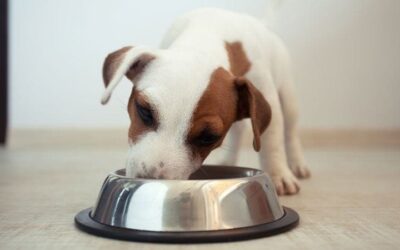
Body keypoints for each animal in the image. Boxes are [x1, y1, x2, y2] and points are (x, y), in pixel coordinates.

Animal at [99, 7, 310, 195]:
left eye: (208, 137)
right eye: (144, 111)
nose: (150, 180)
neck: (207, 35)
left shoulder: (268, 95)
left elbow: (271, 142)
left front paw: (278, 174)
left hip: (288, 98)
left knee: (290, 132)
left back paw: (297, 164)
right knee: (239, 129)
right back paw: (228, 160)